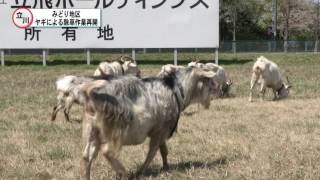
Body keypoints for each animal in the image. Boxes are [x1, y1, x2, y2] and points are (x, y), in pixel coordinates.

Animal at [79, 67, 216, 179]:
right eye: (208, 80)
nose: (216, 89)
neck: (175, 90)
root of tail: (93, 95)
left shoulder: (161, 130)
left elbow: (163, 150)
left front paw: (166, 167)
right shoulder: (160, 130)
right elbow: (153, 151)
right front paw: (141, 171)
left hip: (92, 130)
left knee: (87, 156)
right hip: (118, 130)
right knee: (108, 151)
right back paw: (123, 173)